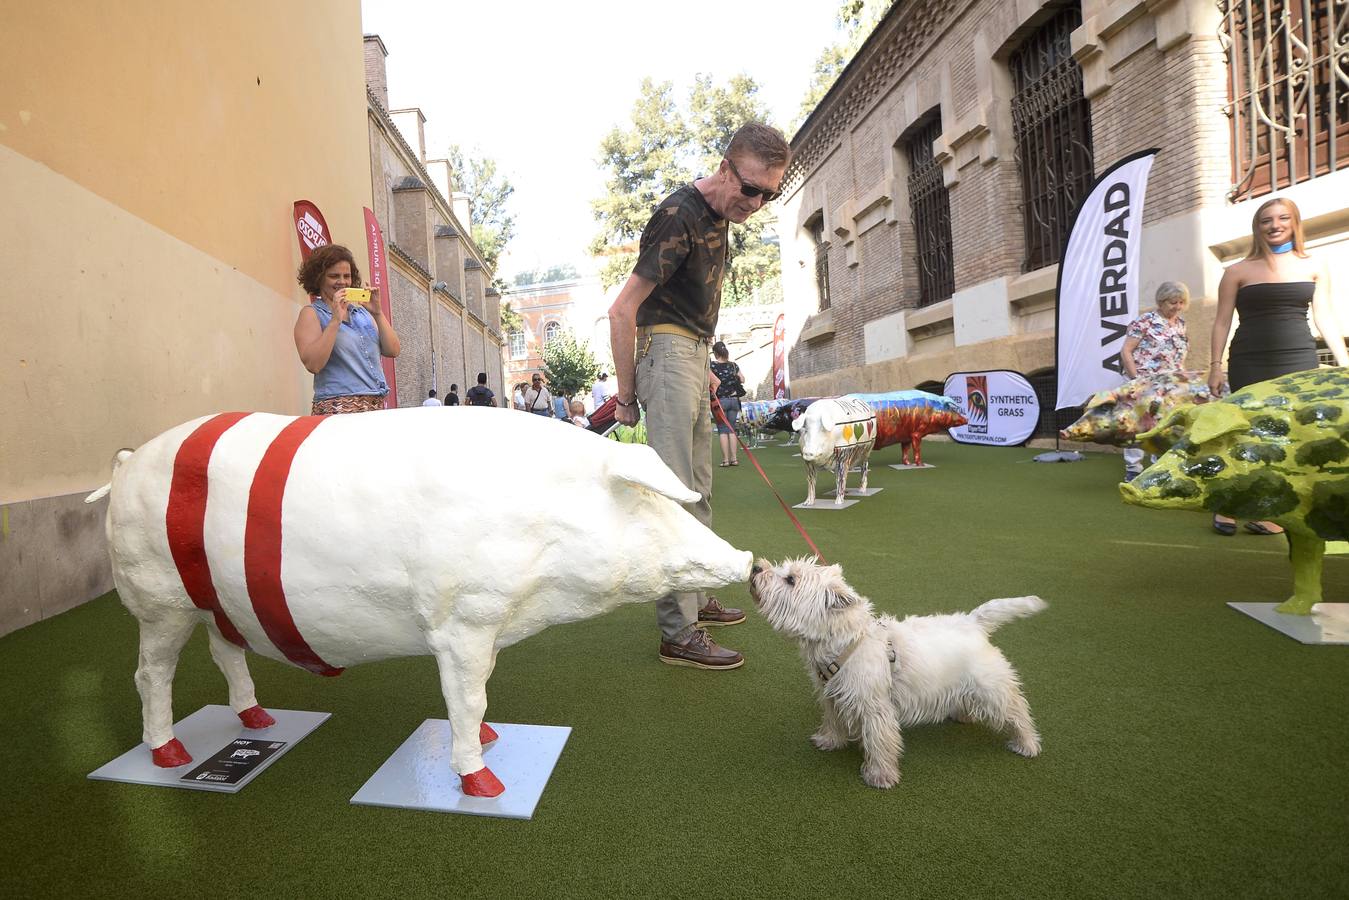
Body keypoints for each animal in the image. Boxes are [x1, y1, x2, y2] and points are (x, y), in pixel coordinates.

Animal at [750, 555, 1041, 788]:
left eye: (790, 579)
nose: (756, 567)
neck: (846, 642)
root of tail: (973, 622)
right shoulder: (831, 695)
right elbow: (833, 720)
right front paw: (828, 741)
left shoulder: (875, 707)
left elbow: (880, 741)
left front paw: (880, 776)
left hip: (992, 688)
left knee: (1018, 710)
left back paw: (1027, 744)